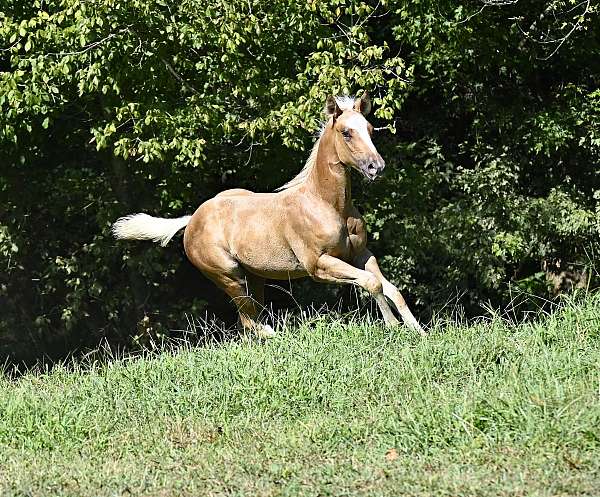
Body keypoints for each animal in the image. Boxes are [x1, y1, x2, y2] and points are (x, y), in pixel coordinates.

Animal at [112, 91, 422, 336]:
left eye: (370, 129)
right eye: (346, 132)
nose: (376, 167)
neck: (328, 205)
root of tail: (193, 219)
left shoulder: (361, 254)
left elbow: (391, 288)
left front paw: (418, 331)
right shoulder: (319, 265)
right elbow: (372, 283)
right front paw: (393, 326)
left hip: (254, 277)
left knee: (250, 320)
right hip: (229, 276)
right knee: (251, 322)